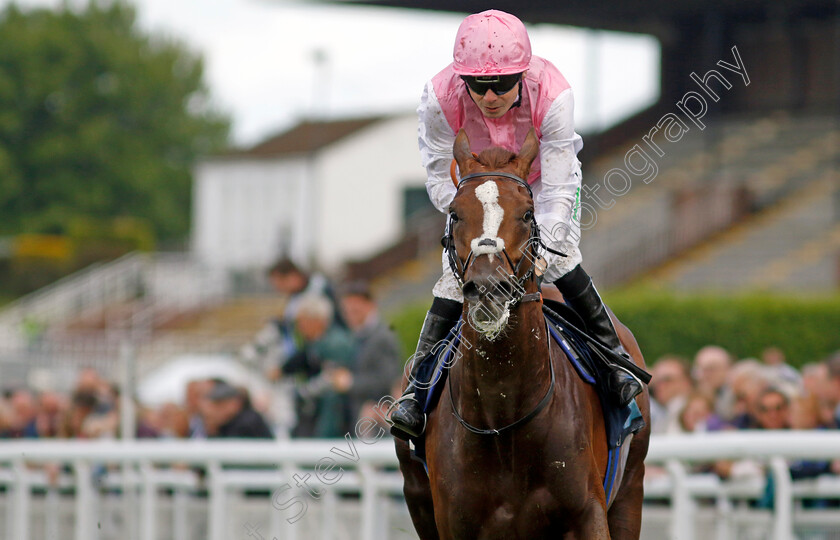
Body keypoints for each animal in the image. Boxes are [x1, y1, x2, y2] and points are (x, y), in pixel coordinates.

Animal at [392, 129, 648, 536]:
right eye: (454, 213)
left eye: (527, 214)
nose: (488, 288)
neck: (503, 416)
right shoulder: (452, 522)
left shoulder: (587, 513)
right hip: (417, 497)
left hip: (630, 490)